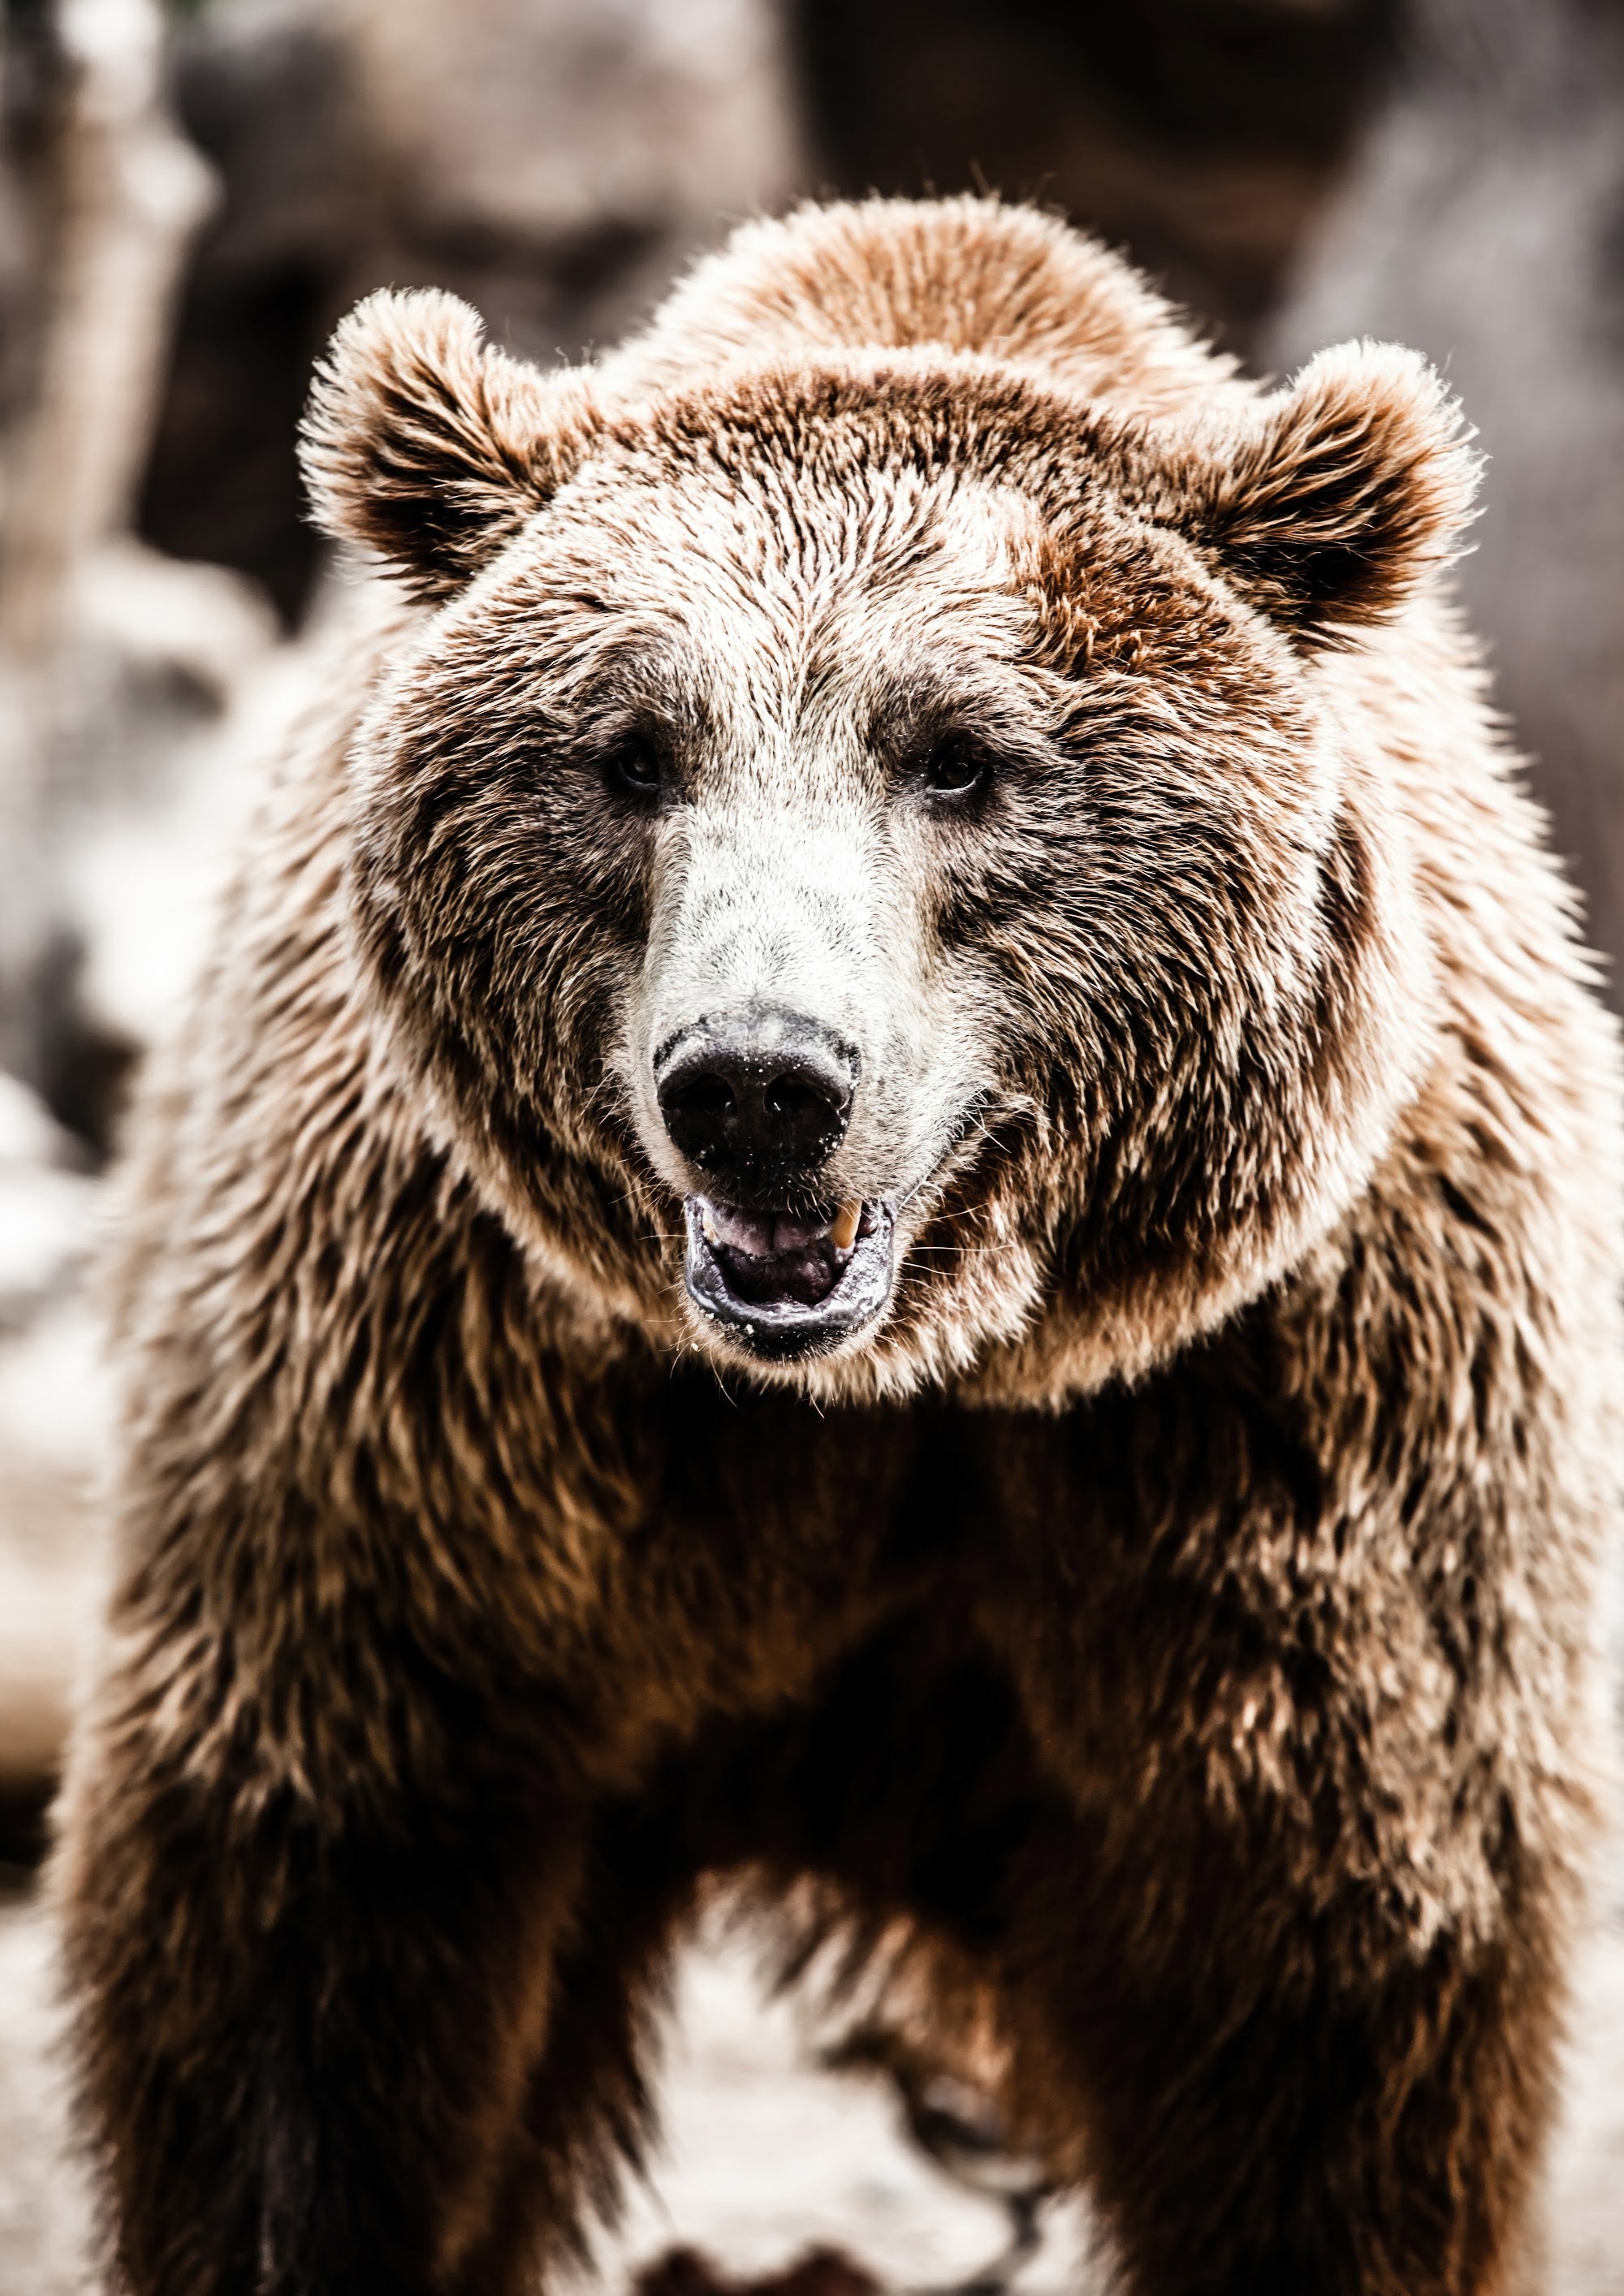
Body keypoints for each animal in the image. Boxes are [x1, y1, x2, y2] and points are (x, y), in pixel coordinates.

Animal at [49, 194, 1623, 2296]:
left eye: (957, 756)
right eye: (633, 754)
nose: (755, 1084)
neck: (902, 1378)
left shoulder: (1284, 1447)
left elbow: (1335, 2038)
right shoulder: (439, 1428)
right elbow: (314, 1945)